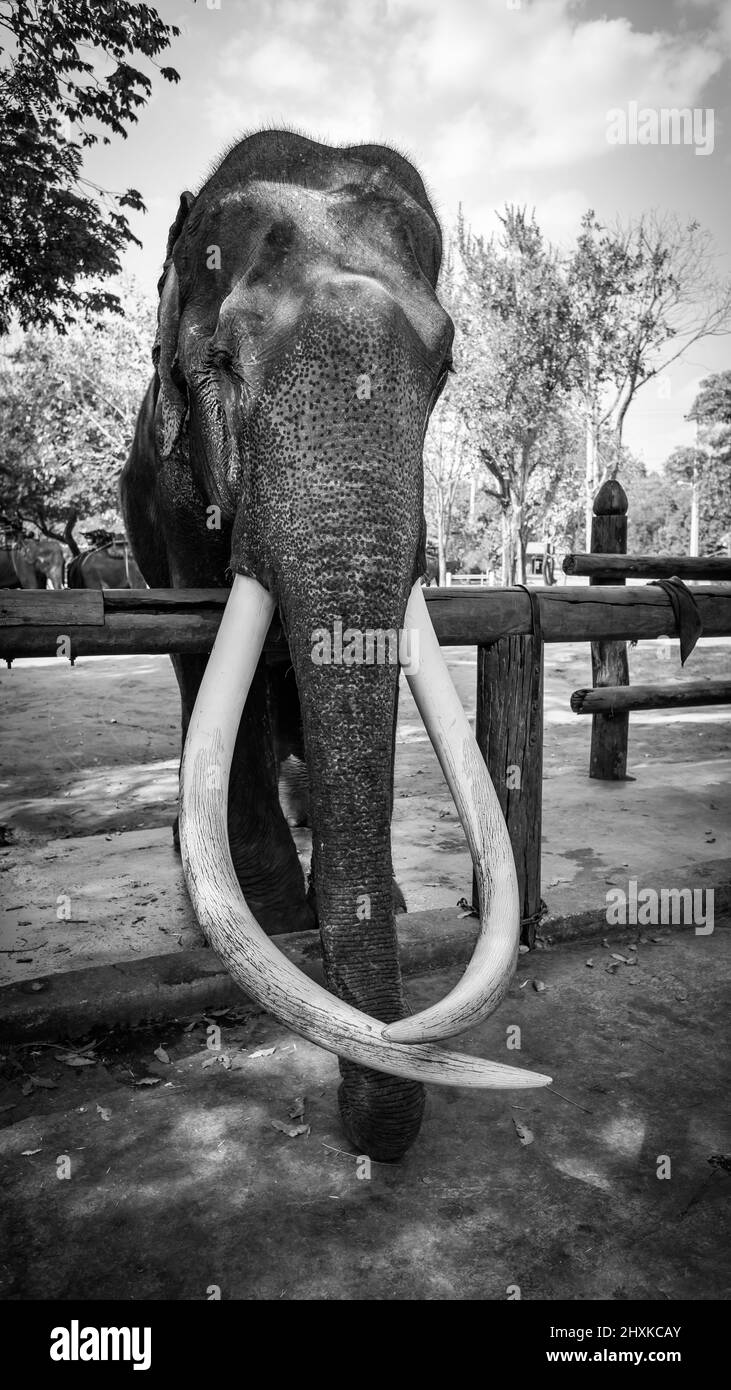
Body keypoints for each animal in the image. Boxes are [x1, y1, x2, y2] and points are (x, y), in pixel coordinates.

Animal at [120, 130, 550, 1156]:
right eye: (220, 361)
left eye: (444, 370)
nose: (368, 1134)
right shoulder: (172, 494)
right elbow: (206, 652)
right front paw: (278, 917)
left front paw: (368, 906)